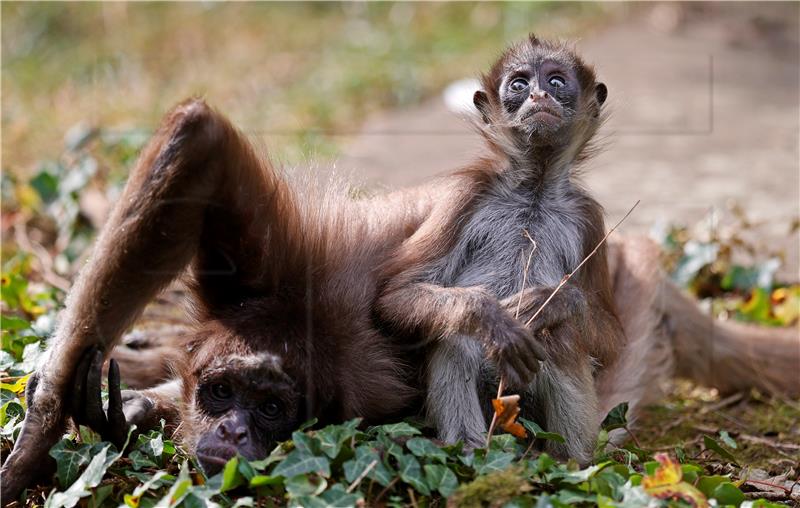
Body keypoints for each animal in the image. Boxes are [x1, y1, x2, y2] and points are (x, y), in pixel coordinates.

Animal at [1, 33, 800, 502]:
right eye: (223, 393)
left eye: (271, 411)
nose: (229, 437)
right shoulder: (272, 283)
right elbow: (200, 137)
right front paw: (48, 427)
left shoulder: (345, 364)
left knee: (565, 347)